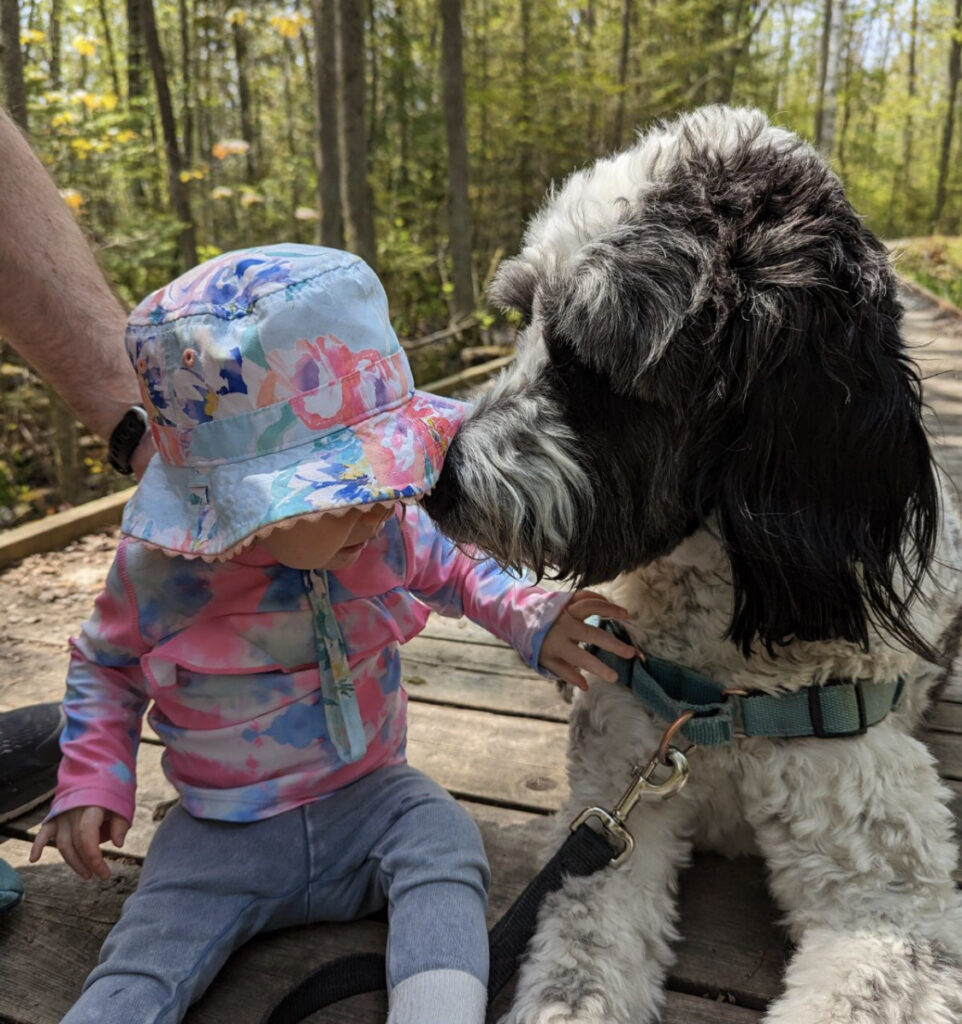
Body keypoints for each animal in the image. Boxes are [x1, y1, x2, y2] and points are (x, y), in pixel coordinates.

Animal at [426, 103, 962, 1024]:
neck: (720, 696)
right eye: (521, 317)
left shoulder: (894, 904)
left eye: (590, 359)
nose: (437, 484)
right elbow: (578, 975)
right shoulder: (613, 819)